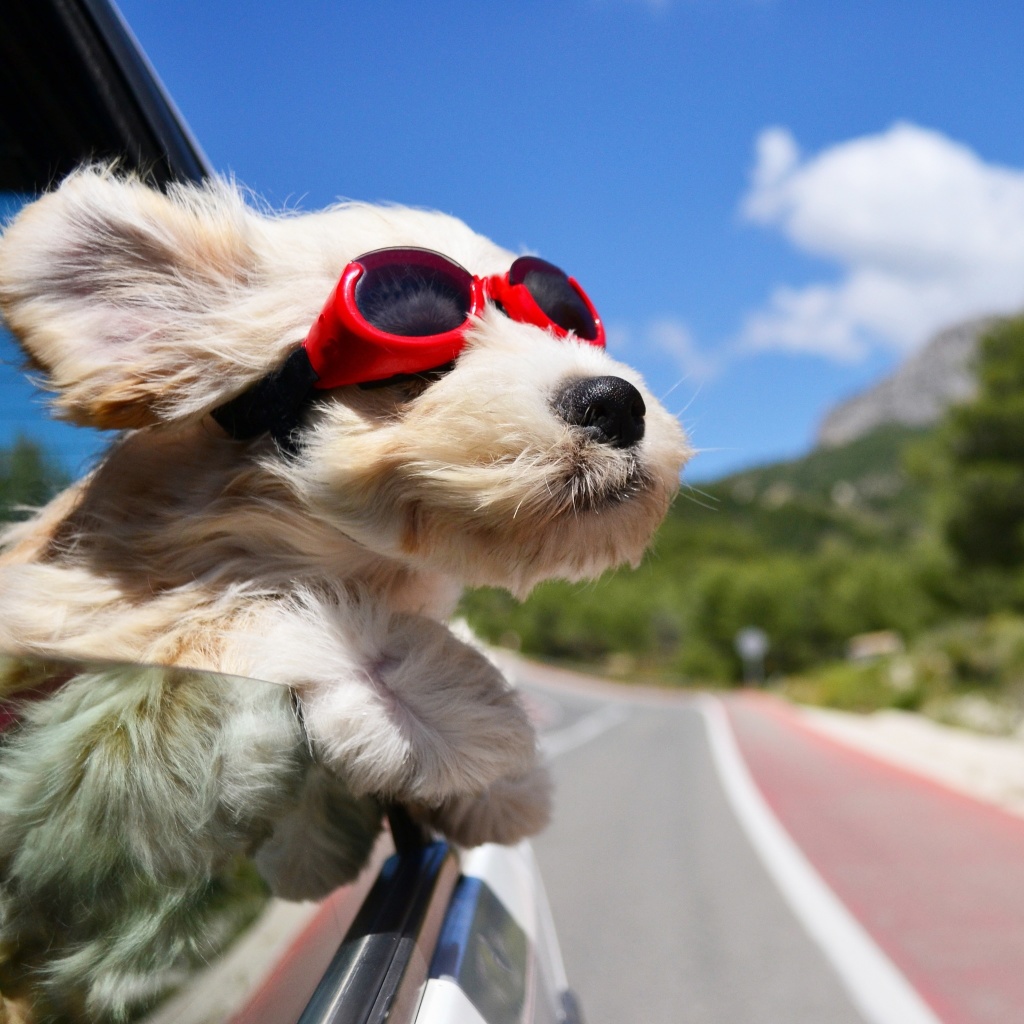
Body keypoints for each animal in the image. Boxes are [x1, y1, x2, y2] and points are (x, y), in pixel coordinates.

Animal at [0, 167, 692, 1015]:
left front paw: (496, 777)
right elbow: (215, 620)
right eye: (413, 364)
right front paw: (448, 710)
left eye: (567, 322)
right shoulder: (67, 622)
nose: (615, 401)